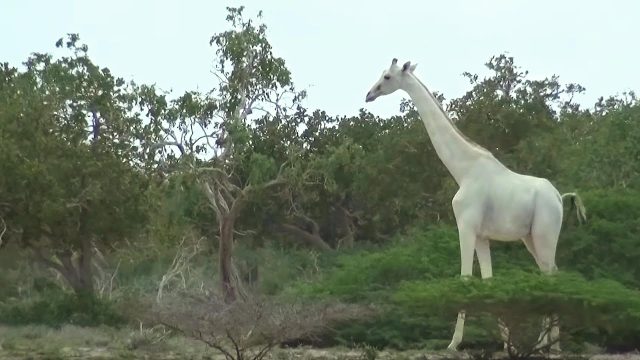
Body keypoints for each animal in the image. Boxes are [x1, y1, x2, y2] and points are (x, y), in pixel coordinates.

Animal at [364, 58, 584, 352]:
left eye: (387, 77)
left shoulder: (466, 227)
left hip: (544, 234)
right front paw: (507, 344)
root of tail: (560, 197)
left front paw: (453, 343)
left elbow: (465, 278)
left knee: (550, 275)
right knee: (551, 273)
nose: (369, 94)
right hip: (530, 238)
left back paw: (549, 346)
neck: (463, 169)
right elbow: (488, 281)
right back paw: (547, 344)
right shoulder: (482, 235)